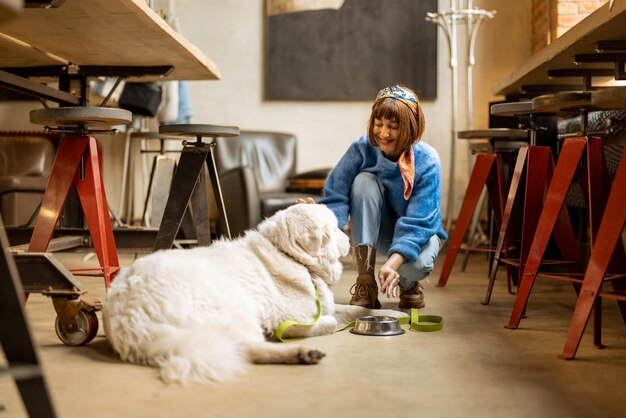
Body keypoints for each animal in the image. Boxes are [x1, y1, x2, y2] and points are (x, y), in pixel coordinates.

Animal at [102, 204, 404, 384]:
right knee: (248, 346)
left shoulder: (326, 304)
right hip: (234, 307)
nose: (348, 238)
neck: (291, 256)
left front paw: (394, 312)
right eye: (332, 228)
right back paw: (302, 351)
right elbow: (323, 322)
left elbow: (358, 310)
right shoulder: (290, 316)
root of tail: (127, 316)